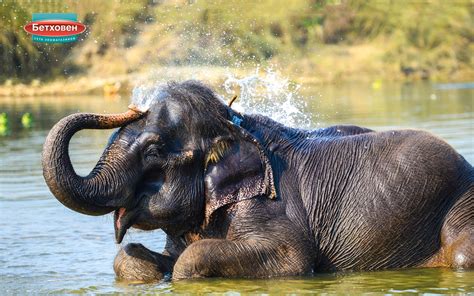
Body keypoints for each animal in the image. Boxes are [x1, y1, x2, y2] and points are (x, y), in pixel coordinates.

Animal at [42, 80, 472, 280]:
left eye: (153, 151)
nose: (131, 106)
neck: (232, 124)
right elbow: (131, 257)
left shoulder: (268, 205)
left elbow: (292, 259)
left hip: (462, 203)